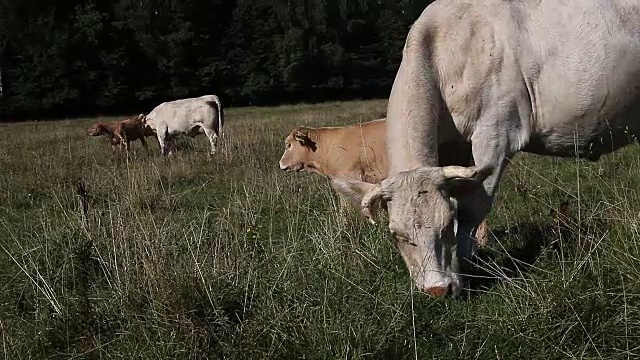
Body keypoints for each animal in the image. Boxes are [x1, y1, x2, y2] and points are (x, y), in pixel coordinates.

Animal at [332, 0, 636, 298]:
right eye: (397, 235)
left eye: (445, 225)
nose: (437, 290)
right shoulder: (453, 149)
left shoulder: (496, 134)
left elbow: (471, 208)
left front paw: (468, 271)